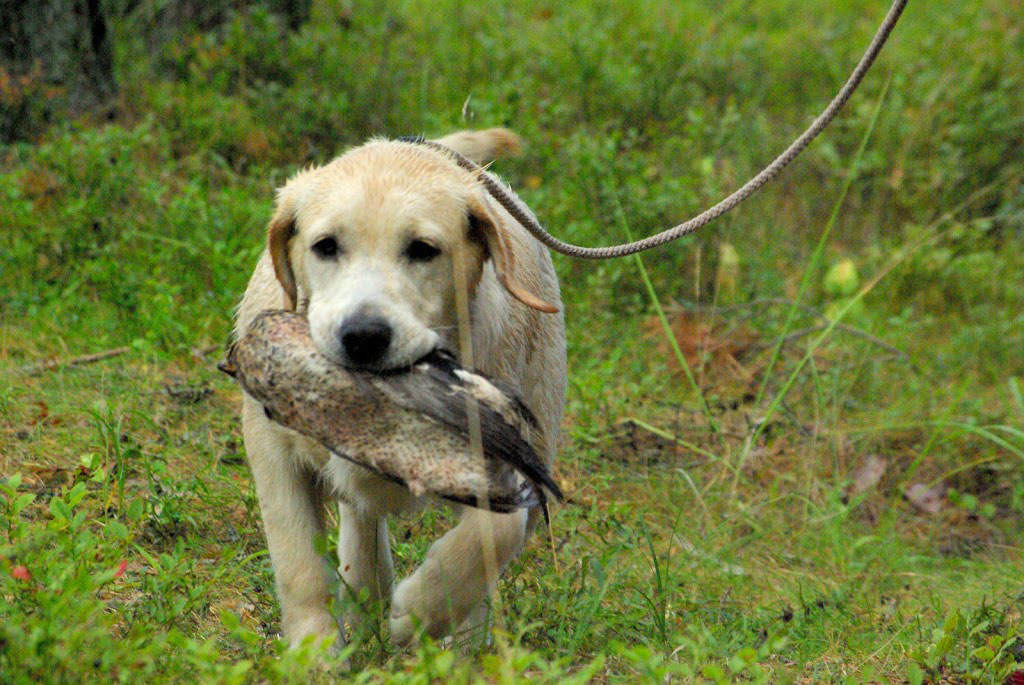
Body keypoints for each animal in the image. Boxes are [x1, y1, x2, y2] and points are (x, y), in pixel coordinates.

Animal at [234, 128, 566, 650]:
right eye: (325, 246)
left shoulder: (507, 465)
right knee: (361, 526)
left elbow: (494, 535)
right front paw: (315, 652)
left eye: (423, 249)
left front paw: (417, 613)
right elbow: (299, 564)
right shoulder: (272, 453)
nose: (363, 336)